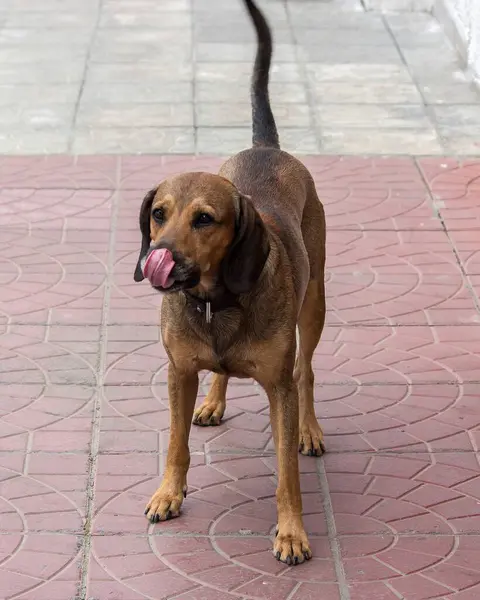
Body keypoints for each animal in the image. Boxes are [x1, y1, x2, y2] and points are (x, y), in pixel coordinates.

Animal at [131, 0, 326, 564]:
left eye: (205, 219)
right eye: (158, 213)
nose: (159, 254)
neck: (216, 302)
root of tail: (267, 147)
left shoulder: (278, 388)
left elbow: (286, 473)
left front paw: (291, 532)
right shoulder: (178, 371)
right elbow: (176, 444)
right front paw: (168, 493)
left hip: (316, 303)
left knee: (307, 371)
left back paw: (310, 428)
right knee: (220, 373)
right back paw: (214, 400)